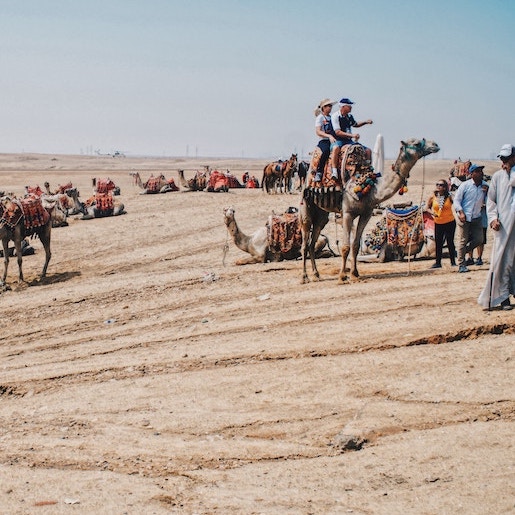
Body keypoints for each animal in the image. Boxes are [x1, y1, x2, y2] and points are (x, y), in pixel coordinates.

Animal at [300, 137, 442, 284]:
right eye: (416, 143)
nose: (435, 145)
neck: (370, 189)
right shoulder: (347, 213)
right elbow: (346, 247)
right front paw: (342, 277)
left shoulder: (366, 214)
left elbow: (355, 245)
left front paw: (354, 274)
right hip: (305, 204)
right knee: (304, 243)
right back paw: (304, 277)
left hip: (322, 214)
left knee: (313, 241)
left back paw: (316, 275)